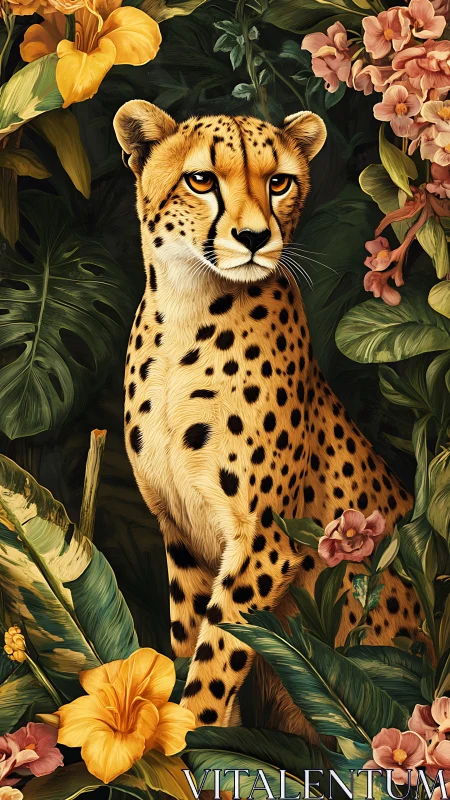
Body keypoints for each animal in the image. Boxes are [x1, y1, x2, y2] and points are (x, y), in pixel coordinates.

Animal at [113, 100, 421, 739]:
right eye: (201, 179)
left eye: (278, 182)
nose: (254, 238)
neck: (186, 308)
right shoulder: (182, 536)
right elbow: (190, 641)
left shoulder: (266, 541)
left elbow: (217, 655)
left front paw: (192, 735)